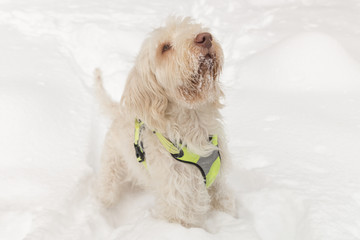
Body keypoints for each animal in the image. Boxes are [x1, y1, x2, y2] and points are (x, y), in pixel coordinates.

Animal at [95, 16, 236, 227]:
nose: (205, 38)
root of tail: (119, 112)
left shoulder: (217, 182)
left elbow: (227, 203)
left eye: (191, 28)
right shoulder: (179, 199)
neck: (194, 125)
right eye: (165, 47)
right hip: (111, 169)